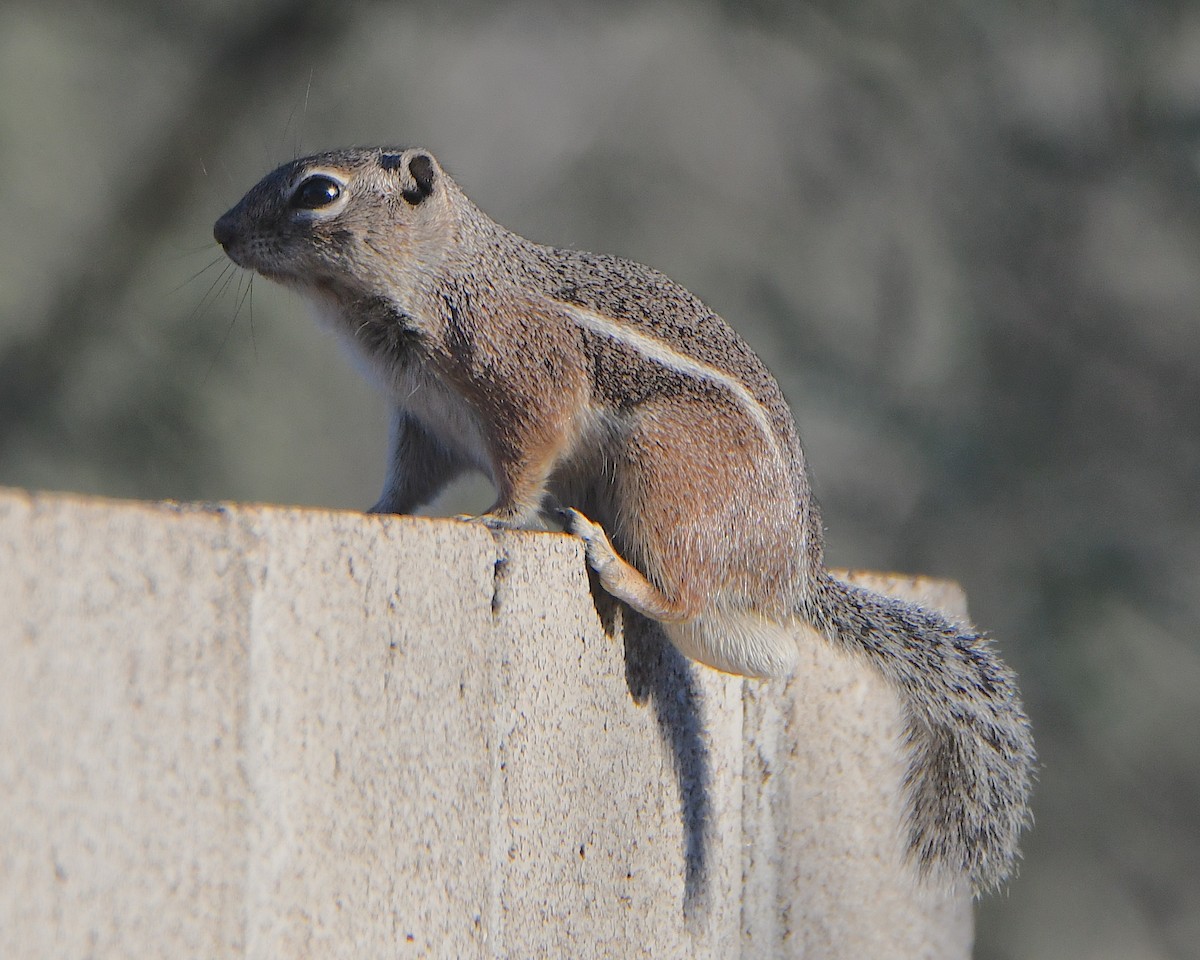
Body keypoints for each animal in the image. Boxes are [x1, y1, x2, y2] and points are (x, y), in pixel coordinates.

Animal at [213, 146, 1034, 893]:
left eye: (320, 192)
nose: (221, 230)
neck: (443, 272)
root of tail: (794, 578)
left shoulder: (525, 382)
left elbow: (526, 460)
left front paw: (499, 518)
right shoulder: (427, 426)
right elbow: (408, 485)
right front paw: (377, 511)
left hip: (664, 475)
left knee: (686, 597)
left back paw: (613, 562)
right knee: (764, 651)